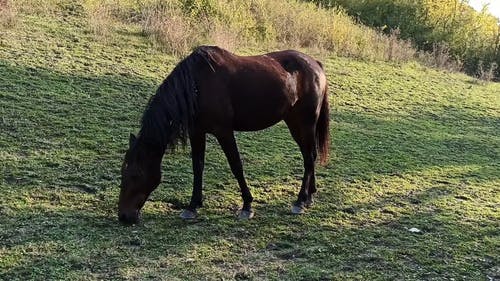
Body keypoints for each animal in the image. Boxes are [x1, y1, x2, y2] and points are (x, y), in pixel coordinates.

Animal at [116, 45, 328, 223]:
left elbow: (236, 166)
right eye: (123, 172)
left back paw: (300, 201)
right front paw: (192, 206)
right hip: (294, 123)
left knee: (309, 157)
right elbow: (198, 167)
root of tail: (315, 64)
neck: (196, 86)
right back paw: (310, 196)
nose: (124, 216)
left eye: (135, 174)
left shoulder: (223, 132)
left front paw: (247, 205)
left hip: (306, 123)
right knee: (309, 155)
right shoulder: (197, 132)